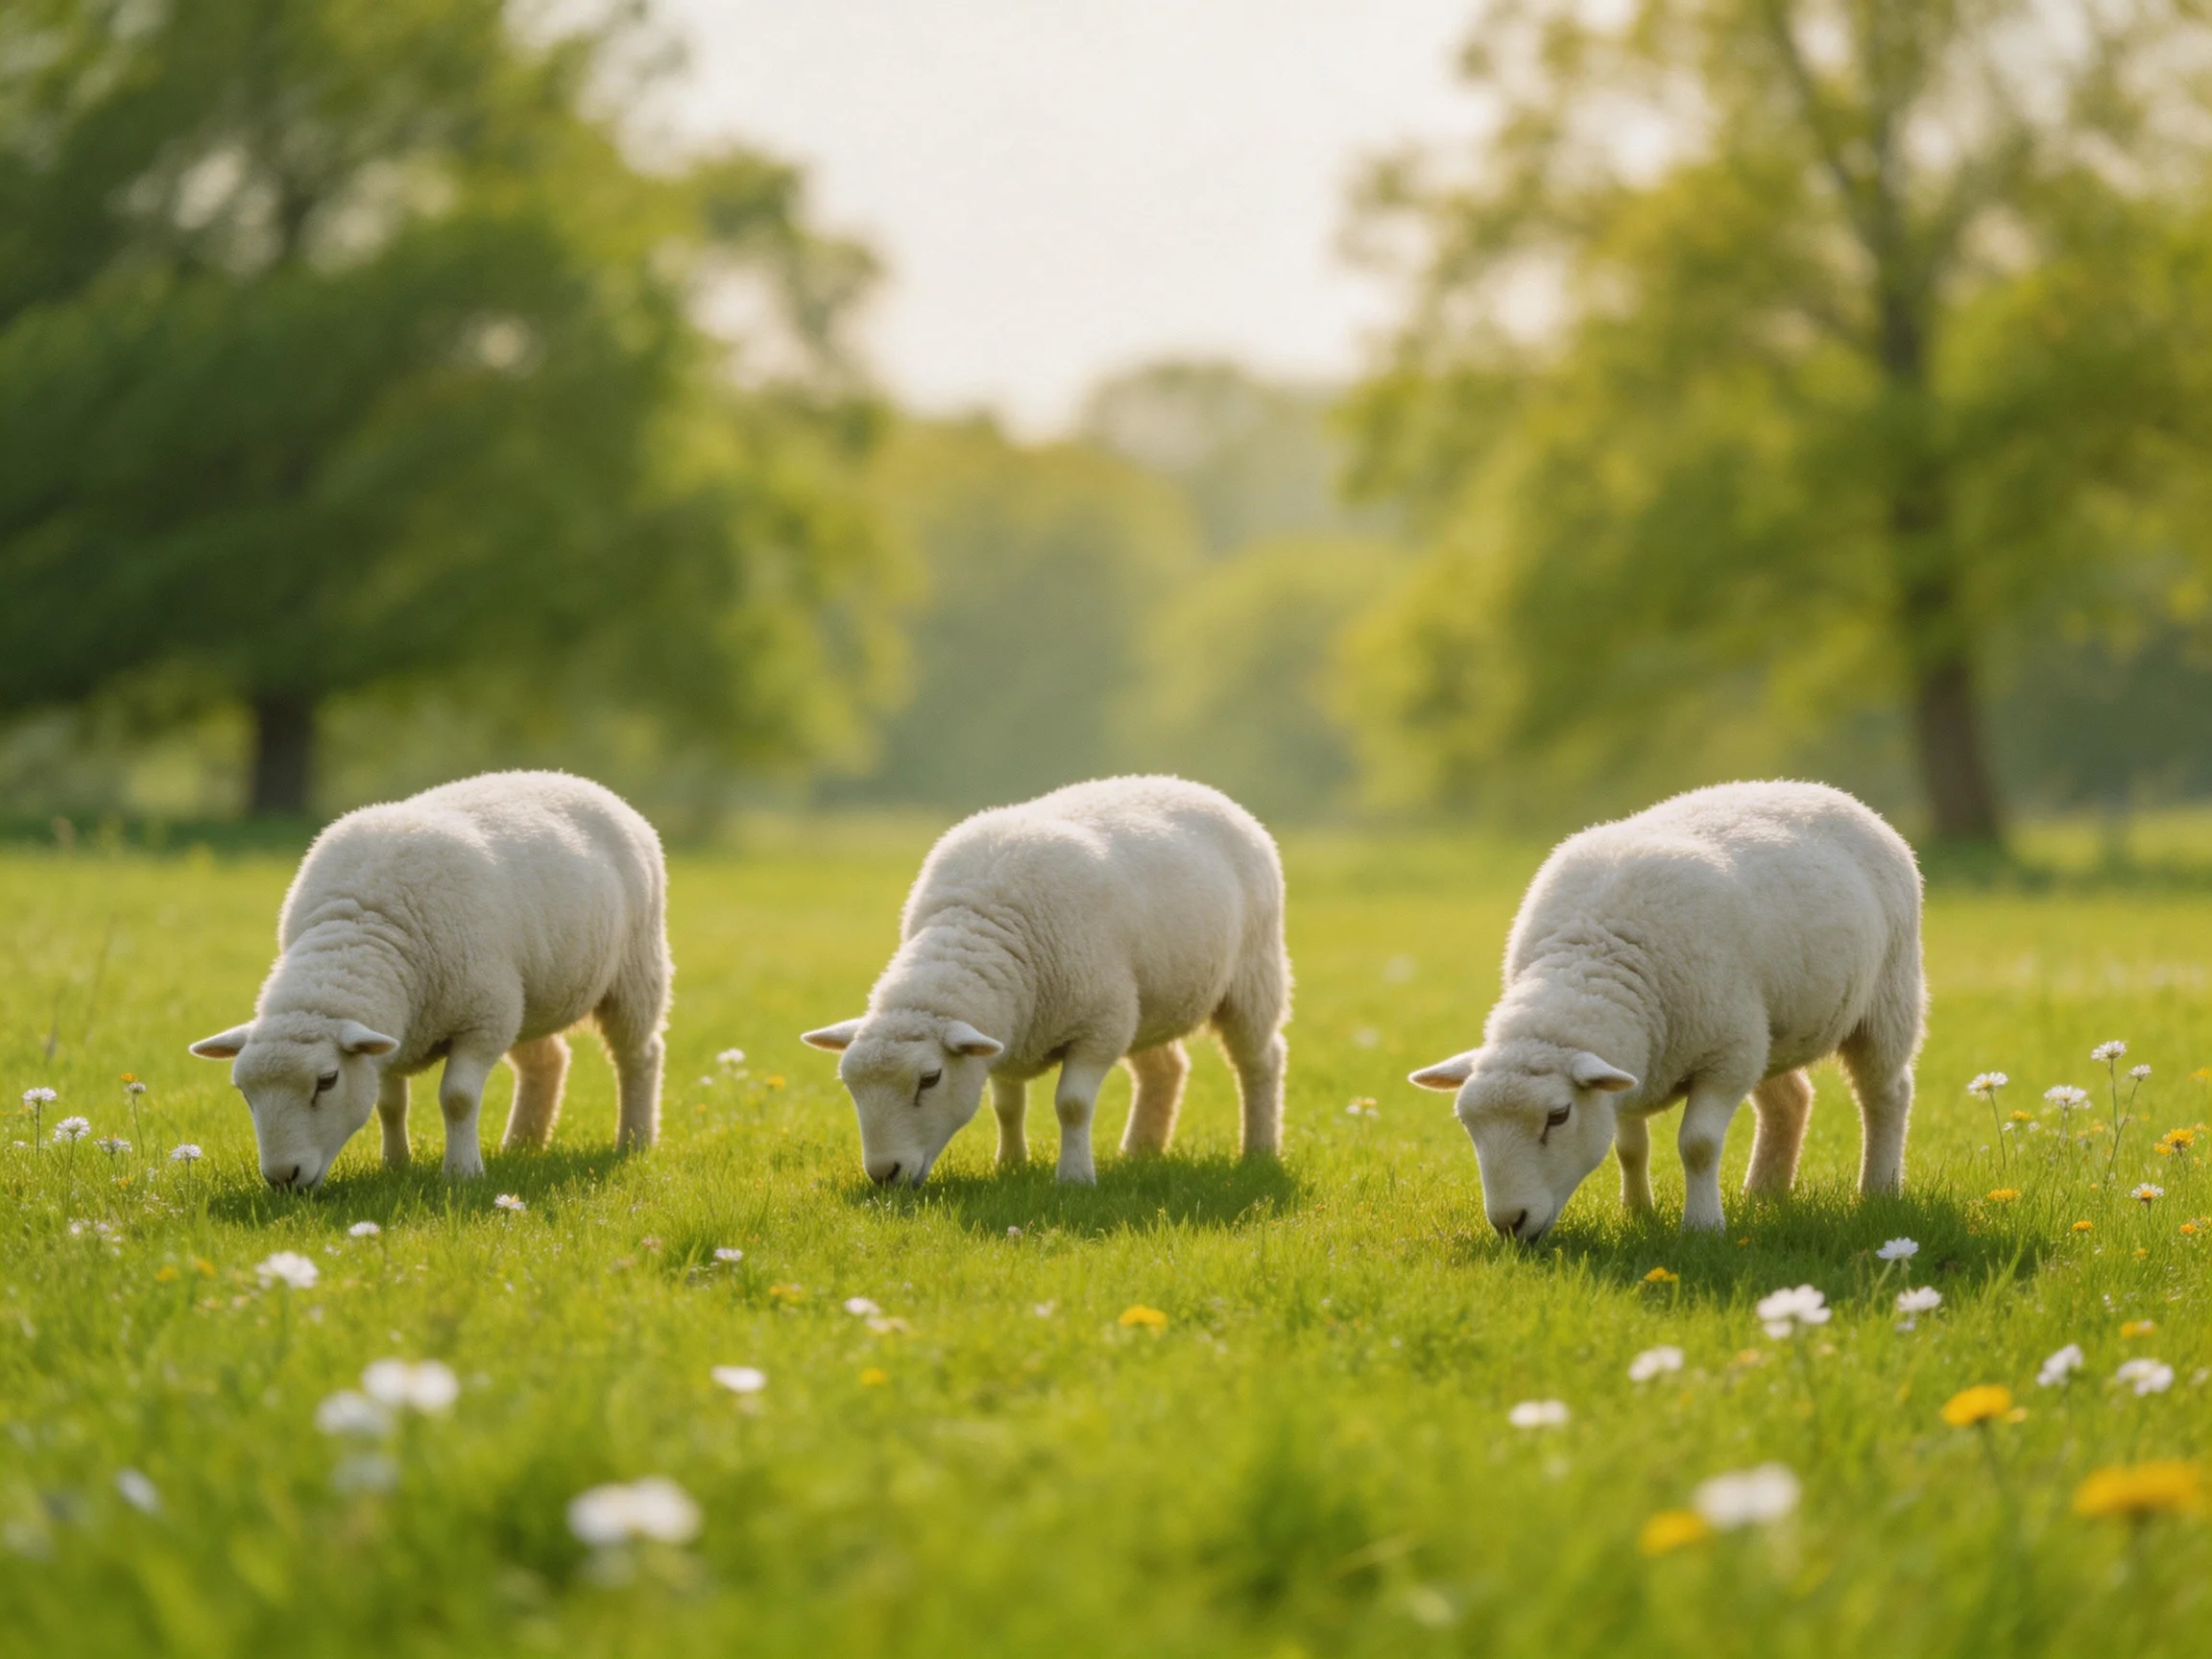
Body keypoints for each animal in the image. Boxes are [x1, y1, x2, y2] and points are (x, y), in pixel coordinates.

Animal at [189, 770, 670, 1188]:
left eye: (326, 1081)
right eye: (243, 1091)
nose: (282, 1178)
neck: (361, 927)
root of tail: (581, 781)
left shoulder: (482, 1019)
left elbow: (457, 1098)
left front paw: (463, 1173)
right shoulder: (393, 1033)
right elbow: (389, 1105)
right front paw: (395, 1165)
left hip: (634, 970)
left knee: (639, 1055)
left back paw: (634, 1140)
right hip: (527, 997)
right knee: (547, 1061)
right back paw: (521, 1146)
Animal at [801, 775, 1291, 1187]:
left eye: (930, 1079)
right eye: (849, 1084)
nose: (884, 1174)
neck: (981, 925)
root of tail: (1198, 786)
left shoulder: (1099, 1026)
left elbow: (1072, 1105)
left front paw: (1074, 1179)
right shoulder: (1005, 1032)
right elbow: (1006, 1107)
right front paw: (1010, 1164)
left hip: (1254, 974)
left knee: (1261, 1061)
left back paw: (1259, 1151)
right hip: (1147, 1005)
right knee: (1166, 1070)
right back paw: (1139, 1152)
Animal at [1408, 781, 1923, 1238]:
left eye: (1558, 1116)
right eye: (1466, 1122)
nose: (1509, 1223)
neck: (1593, 957)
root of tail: (1827, 791)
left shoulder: (1725, 1057)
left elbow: (1698, 1146)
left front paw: (1703, 1227)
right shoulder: (1631, 1065)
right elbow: (1629, 1148)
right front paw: (1638, 1214)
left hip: (1887, 997)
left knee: (1886, 1093)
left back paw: (1878, 1191)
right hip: (1770, 1031)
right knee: (1791, 1101)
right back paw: (1762, 1195)